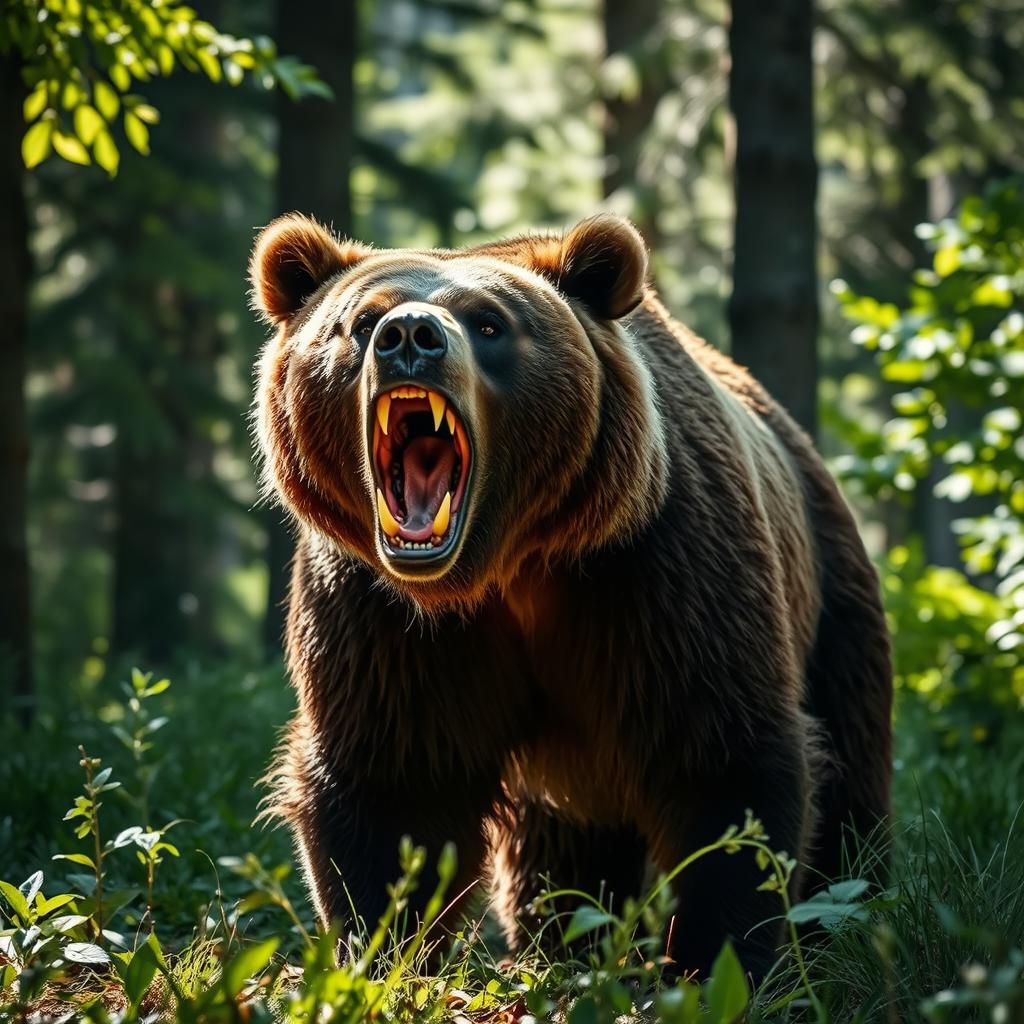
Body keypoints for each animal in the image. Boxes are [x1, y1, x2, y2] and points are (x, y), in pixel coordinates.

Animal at [247, 211, 888, 978]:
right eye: (361, 320)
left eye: (489, 323)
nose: (409, 337)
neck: (505, 568)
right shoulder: (382, 616)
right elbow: (393, 783)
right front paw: (385, 953)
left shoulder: (659, 574)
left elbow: (724, 766)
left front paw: (715, 961)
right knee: (558, 858)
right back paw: (561, 946)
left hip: (831, 600)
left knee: (851, 777)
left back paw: (845, 921)